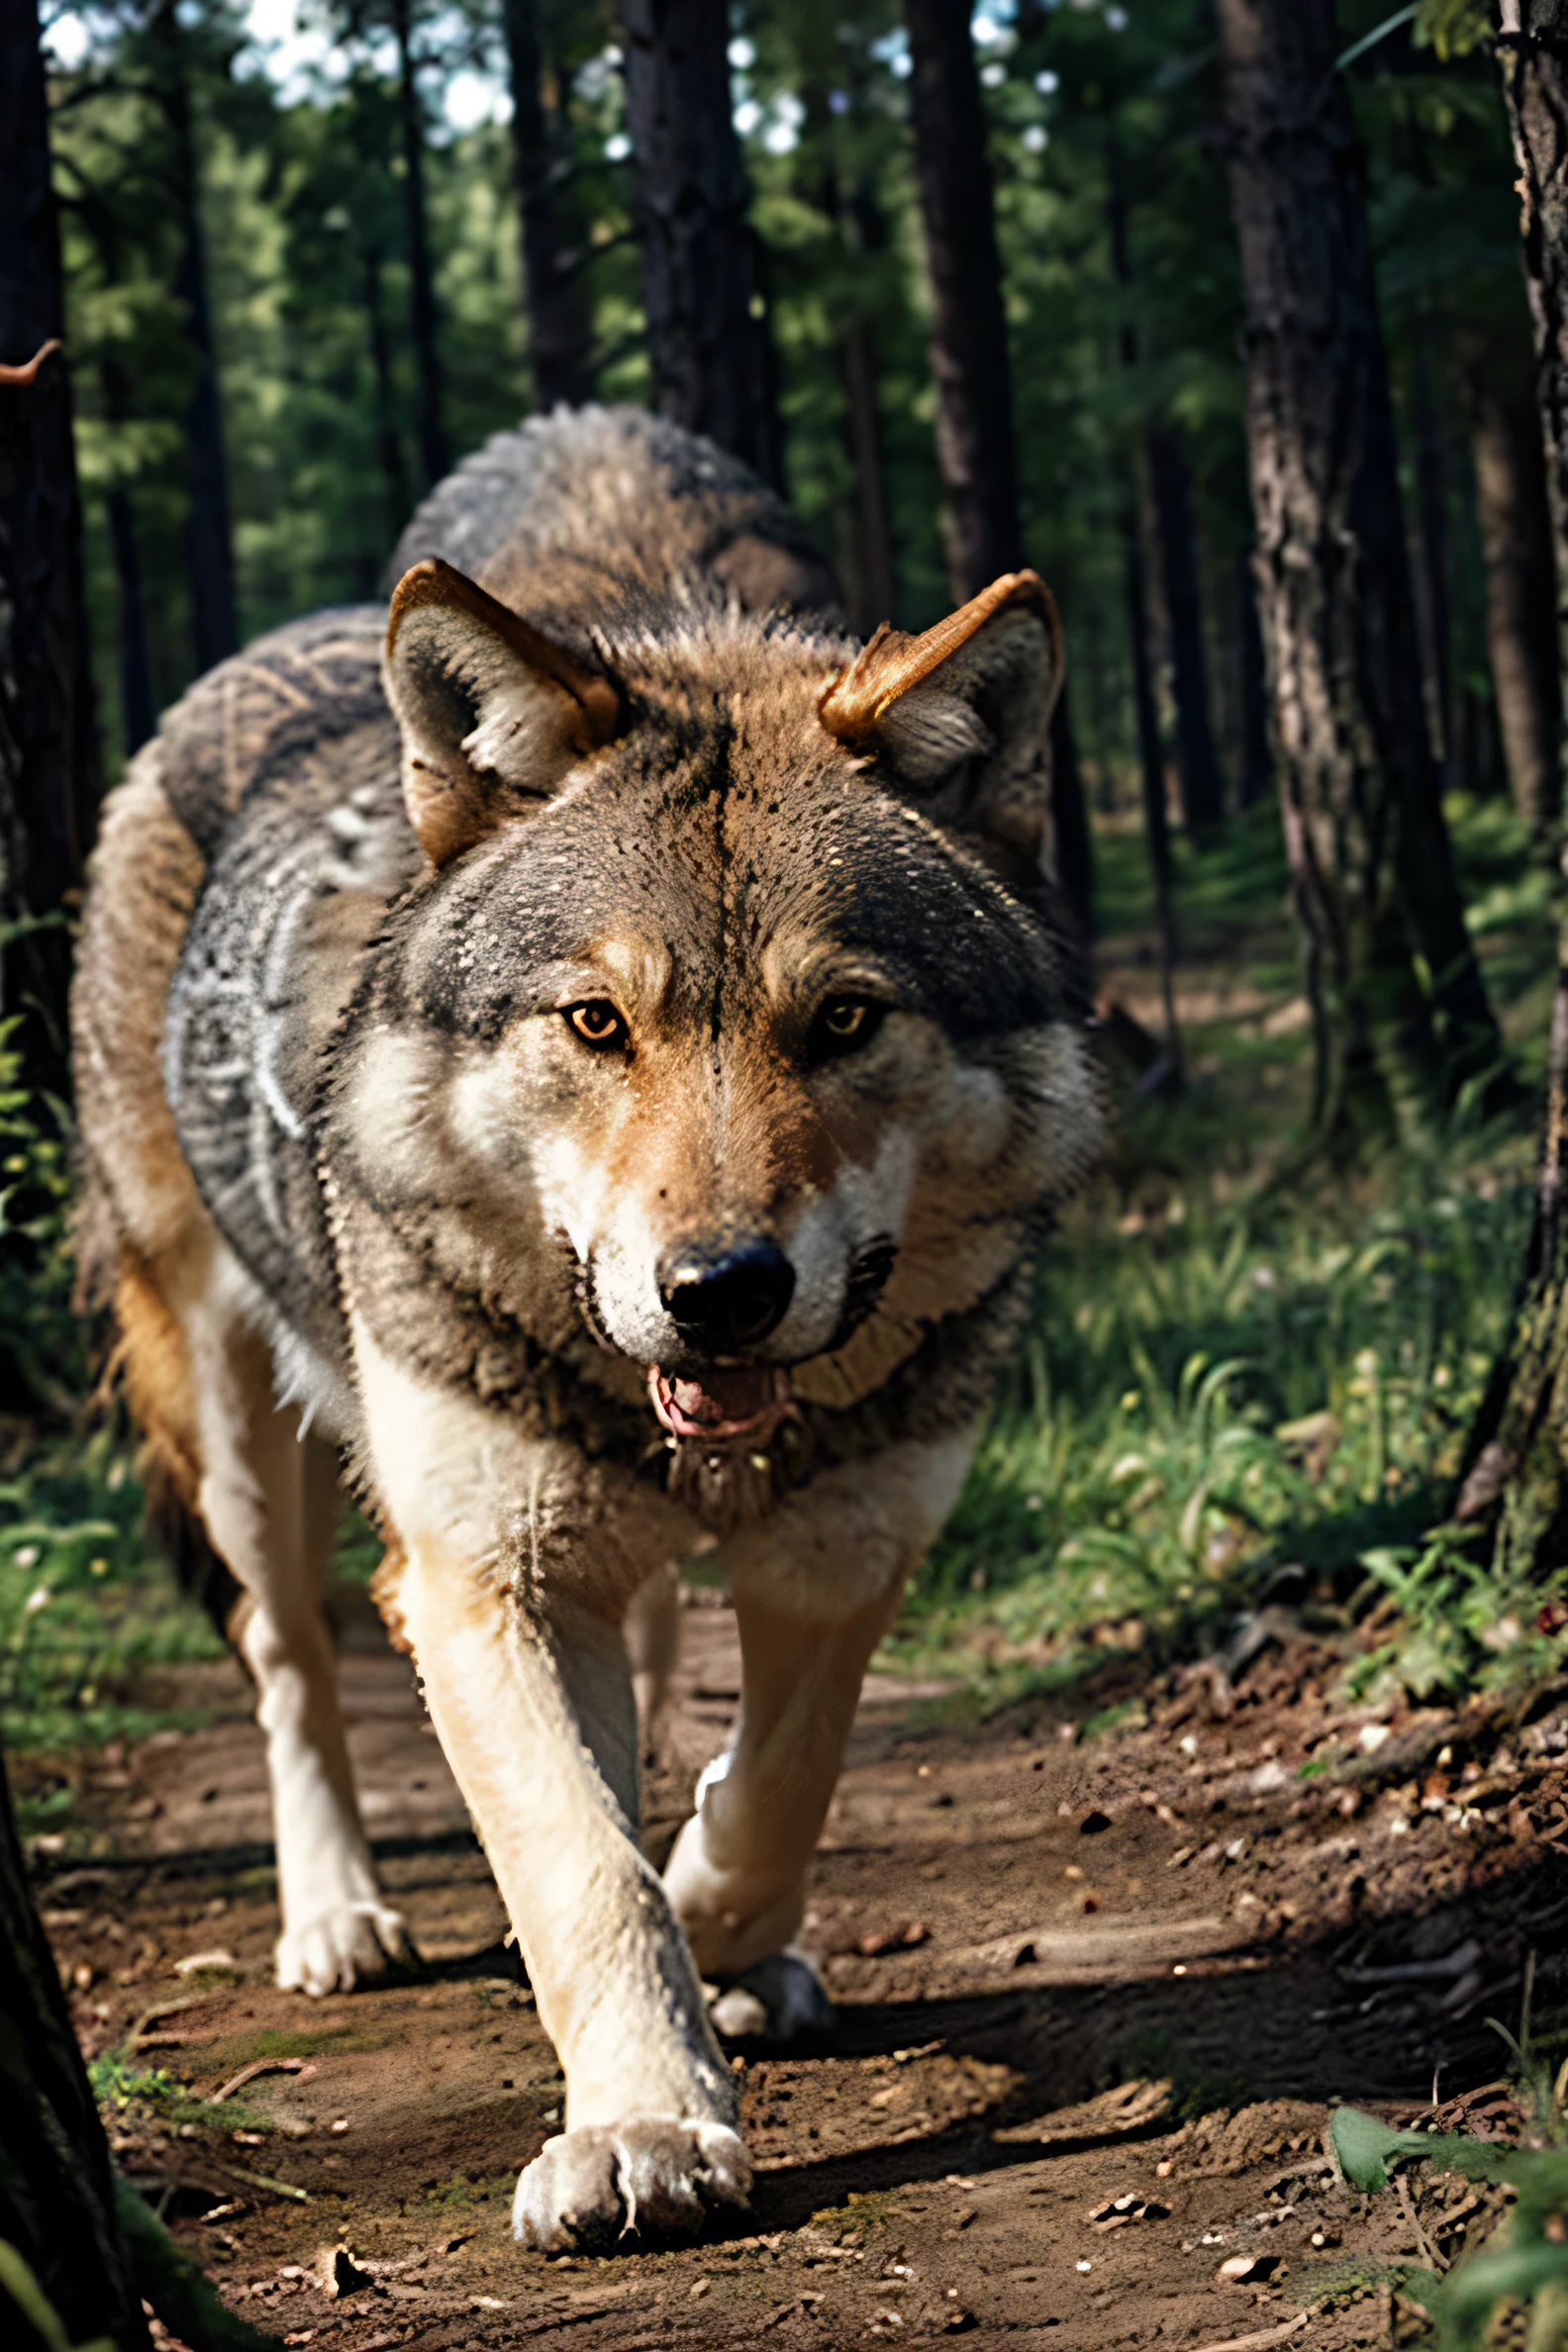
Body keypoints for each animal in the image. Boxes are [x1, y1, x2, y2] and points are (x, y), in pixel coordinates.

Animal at [73, 404, 1100, 2238]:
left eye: (845, 1020)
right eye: (596, 1023)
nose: (719, 1292)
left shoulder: (850, 1548)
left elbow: (779, 1784)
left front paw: (726, 1927)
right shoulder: (487, 1579)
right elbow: (579, 1871)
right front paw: (644, 2125)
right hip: (241, 1429)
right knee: (285, 1656)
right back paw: (334, 1917)